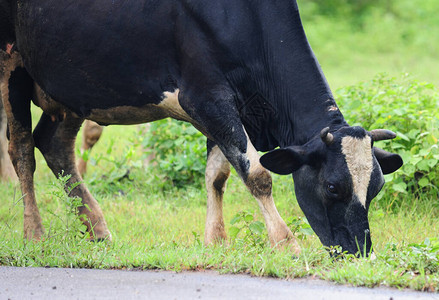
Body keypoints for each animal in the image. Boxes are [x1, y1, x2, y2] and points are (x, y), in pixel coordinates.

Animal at [0, 0, 404, 254]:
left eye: (377, 187)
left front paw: (216, 241)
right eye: (333, 186)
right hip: (11, 63)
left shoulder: (227, 108)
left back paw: (98, 230)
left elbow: (217, 174)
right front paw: (285, 242)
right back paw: (34, 234)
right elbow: (257, 173)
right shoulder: (208, 99)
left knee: (54, 146)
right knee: (22, 151)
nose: (360, 250)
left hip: (71, 85)